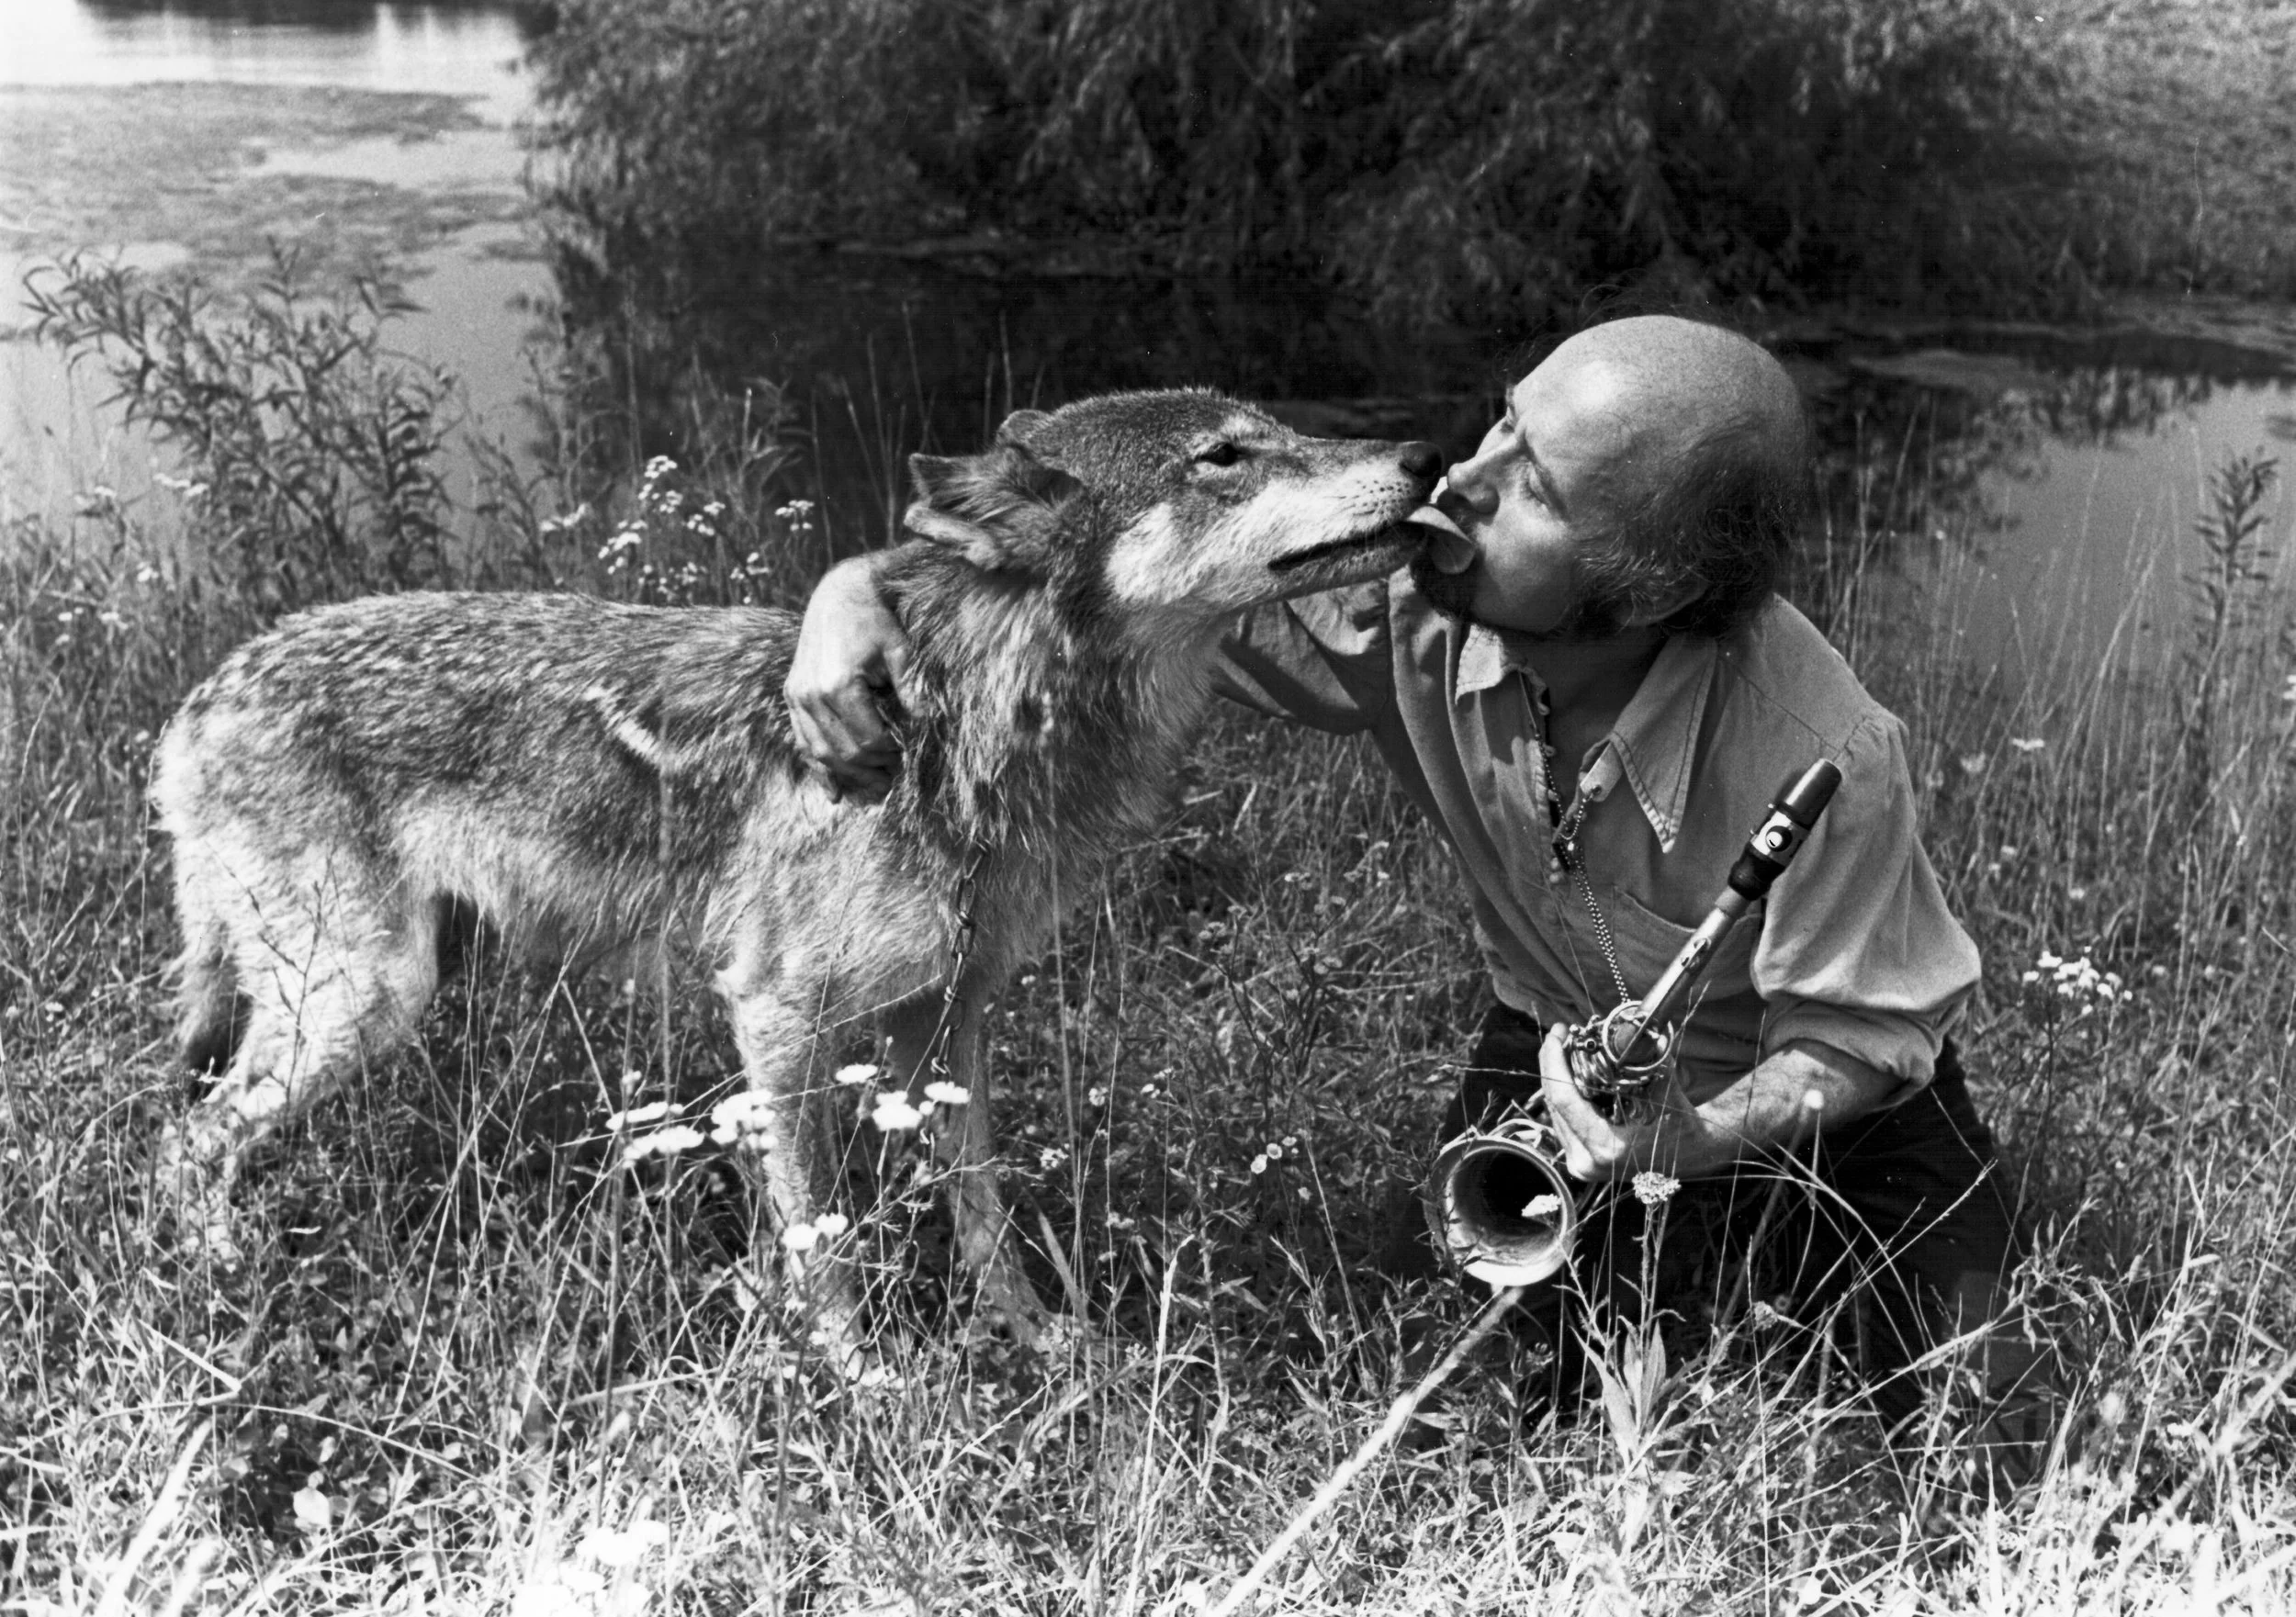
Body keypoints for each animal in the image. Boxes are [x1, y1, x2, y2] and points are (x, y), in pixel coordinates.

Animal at [152, 388, 1443, 1341]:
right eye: (1224, 456)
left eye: (1273, 428)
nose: (1429, 450)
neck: (964, 730)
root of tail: (200, 698)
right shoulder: (774, 1019)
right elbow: (818, 1238)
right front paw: (861, 1378)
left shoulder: (948, 1024)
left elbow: (980, 1216)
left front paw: (1042, 1345)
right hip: (364, 1005)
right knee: (186, 1141)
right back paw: (222, 1279)